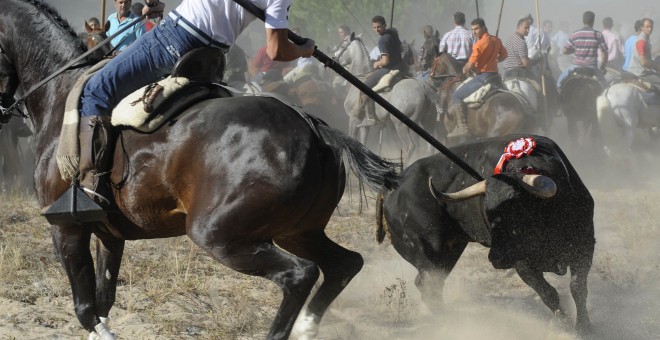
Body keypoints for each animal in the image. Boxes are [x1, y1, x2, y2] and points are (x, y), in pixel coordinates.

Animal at [0, 1, 398, 338]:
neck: (59, 92)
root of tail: (313, 128)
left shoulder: (67, 229)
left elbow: (86, 311)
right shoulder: (109, 234)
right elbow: (103, 302)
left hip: (220, 234)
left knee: (300, 275)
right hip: (297, 230)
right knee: (345, 264)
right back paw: (306, 326)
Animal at [376, 134, 600, 334]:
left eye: (518, 208)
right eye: (487, 212)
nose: (496, 258)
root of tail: (390, 188)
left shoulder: (584, 247)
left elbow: (577, 288)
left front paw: (585, 327)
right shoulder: (521, 262)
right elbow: (548, 293)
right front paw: (565, 325)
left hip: (448, 254)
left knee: (429, 285)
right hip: (429, 254)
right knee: (428, 286)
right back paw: (446, 322)